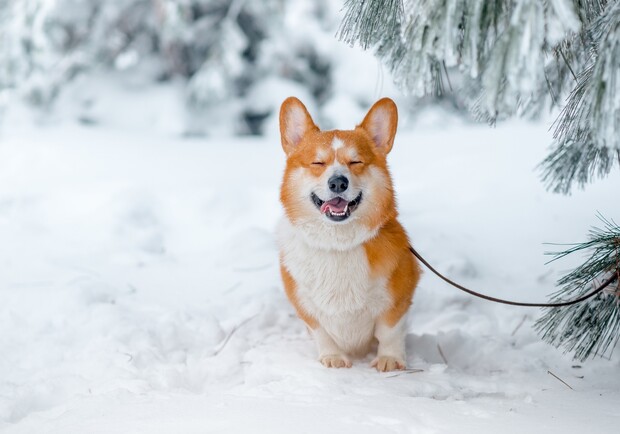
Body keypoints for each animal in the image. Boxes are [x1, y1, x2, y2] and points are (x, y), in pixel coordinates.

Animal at [278, 98, 418, 372]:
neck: (338, 244)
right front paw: (333, 357)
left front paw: (389, 359)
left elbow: (390, 332)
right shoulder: (305, 304)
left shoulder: (398, 297)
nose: (338, 183)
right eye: (317, 163)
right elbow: (321, 332)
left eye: (356, 162)